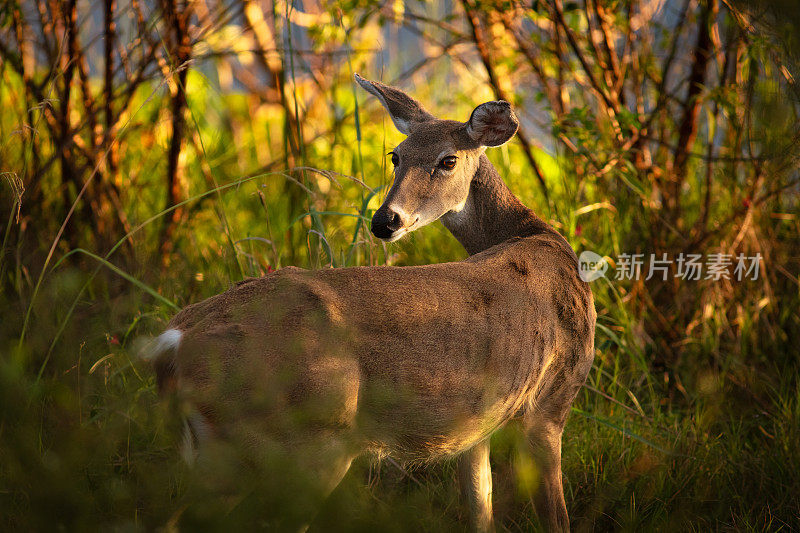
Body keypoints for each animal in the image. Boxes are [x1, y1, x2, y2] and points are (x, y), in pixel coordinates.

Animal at [148, 72, 592, 528]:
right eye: (396, 156)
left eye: (448, 160)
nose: (384, 221)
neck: (531, 234)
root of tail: (175, 342)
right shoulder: (552, 400)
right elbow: (556, 518)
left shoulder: (475, 428)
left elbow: (479, 508)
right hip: (304, 442)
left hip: (219, 454)